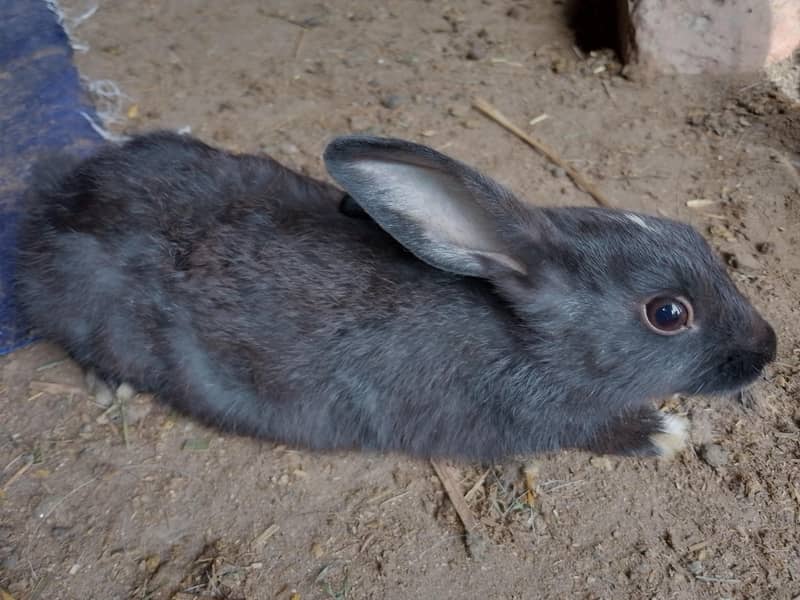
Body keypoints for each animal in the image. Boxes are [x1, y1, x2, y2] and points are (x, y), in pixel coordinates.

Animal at [15, 131, 776, 462]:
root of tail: (55, 203)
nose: (767, 349)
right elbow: (597, 431)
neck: (526, 340)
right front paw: (665, 433)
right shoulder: (531, 421)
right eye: (668, 313)